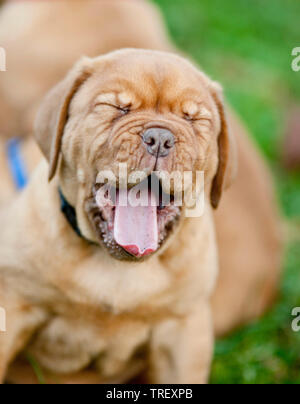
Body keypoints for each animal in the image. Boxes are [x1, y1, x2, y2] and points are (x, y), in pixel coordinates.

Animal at [0, 0, 282, 386]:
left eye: (194, 120)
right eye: (117, 108)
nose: (160, 138)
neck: (117, 269)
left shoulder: (184, 333)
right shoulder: (12, 308)